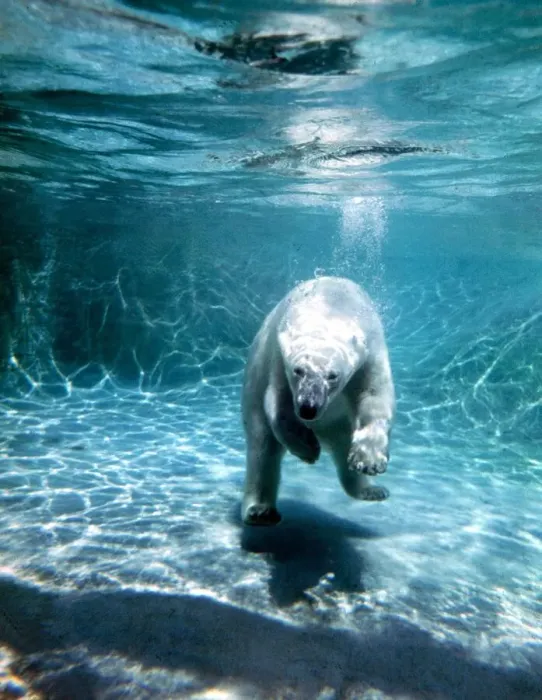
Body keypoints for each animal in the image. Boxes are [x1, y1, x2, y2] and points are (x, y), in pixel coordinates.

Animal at [241, 276, 395, 526]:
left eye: (333, 375)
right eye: (298, 370)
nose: (308, 409)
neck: (330, 306)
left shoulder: (370, 352)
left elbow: (374, 397)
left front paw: (369, 461)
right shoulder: (278, 357)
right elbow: (279, 404)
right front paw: (308, 448)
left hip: (341, 426)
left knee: (343, 453)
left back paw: (372, 491)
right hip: (252, 403)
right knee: (262, 451)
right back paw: (260, 511)